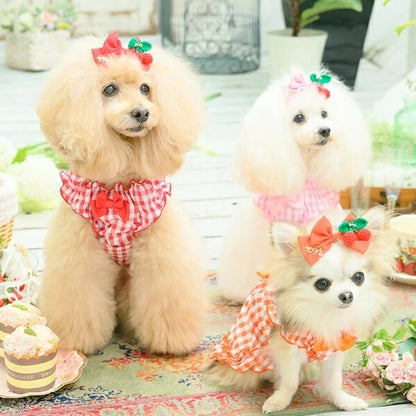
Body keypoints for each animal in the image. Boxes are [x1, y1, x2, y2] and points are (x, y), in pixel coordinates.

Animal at [36, 32, 208, 355]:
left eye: (145, 88)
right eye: (109, 89)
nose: (141, 112)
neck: (119, 187)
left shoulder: (159, 252)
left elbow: (164, 296)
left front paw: (171, 341)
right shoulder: (79, 256)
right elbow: (80, 300)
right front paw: (78, 342)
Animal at [207, 207, 393, 413]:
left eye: (358, 277)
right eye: (322, 284)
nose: (347, 295)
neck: (325, 313)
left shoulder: (334, 346)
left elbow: (334, 381)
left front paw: (343, 401)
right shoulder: (287, 349)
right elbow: (290, 381)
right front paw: (278, 401)